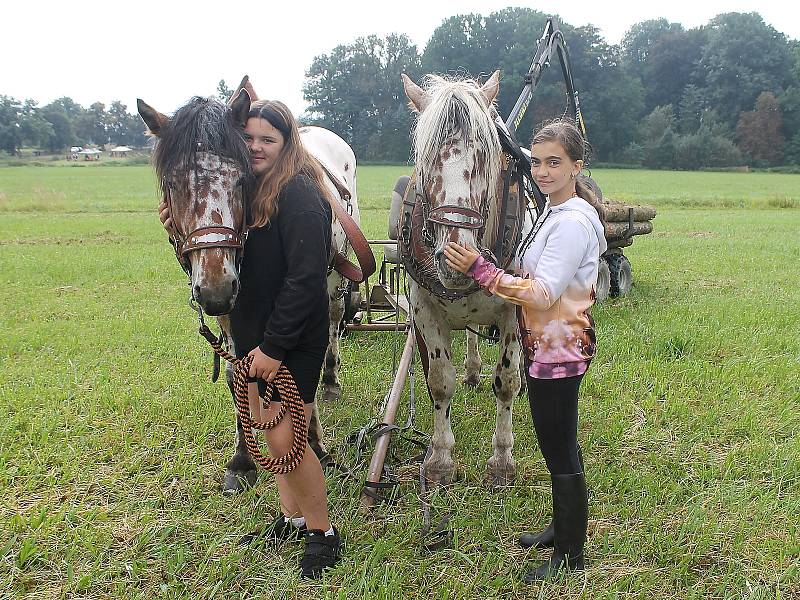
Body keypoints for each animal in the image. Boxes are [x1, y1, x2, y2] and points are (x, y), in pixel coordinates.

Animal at [400, 72, 524, 488]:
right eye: (425, 159)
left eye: (485, 156)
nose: (457, 259)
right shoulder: (423, 307)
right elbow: (440, 379)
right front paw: (440, 458)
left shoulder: (515, 309)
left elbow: (506, 380)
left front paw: (502, 458)